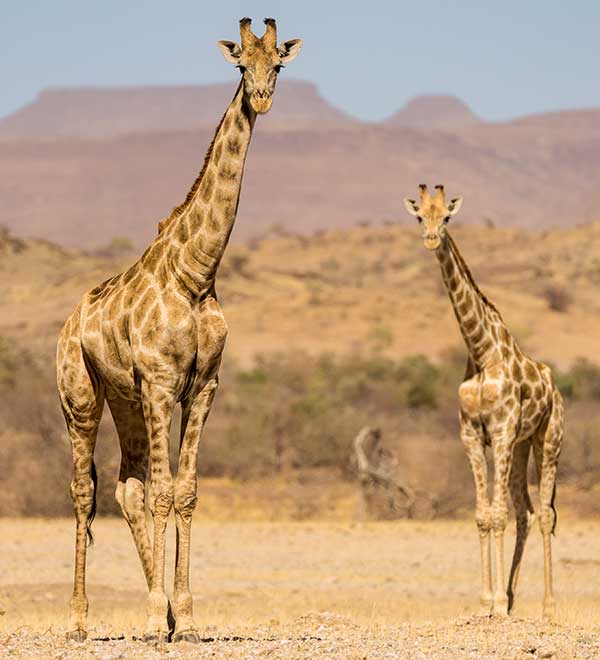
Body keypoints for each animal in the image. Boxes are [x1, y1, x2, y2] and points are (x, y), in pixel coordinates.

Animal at [56, 18, 302, 640]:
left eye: (278, 65)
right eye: (240, 63)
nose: (261, 97)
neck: (196, 273)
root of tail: (68, 324)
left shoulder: (202, 385)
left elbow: (184, 492)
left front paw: (183, 618)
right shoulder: (163, 382)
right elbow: (166, 493)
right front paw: (153, 618)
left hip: (125, 398)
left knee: (128, 488)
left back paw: (156, 609)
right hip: (81, 397)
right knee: (85, 490)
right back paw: (79, 619)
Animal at [404, 184, 564, 620]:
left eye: (446, 217)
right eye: (420, 216)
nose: (431, 239)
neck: (481, 350)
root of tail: (557, 389)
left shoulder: (503, 431)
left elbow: (496, 515)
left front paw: (496, 605)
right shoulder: (472, 435)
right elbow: (482, 516)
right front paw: (487, 602)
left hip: (547, 442)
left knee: (545, 514)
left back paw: (547, 607)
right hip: (522, 448)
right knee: (526, 512)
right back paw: (512, 596)